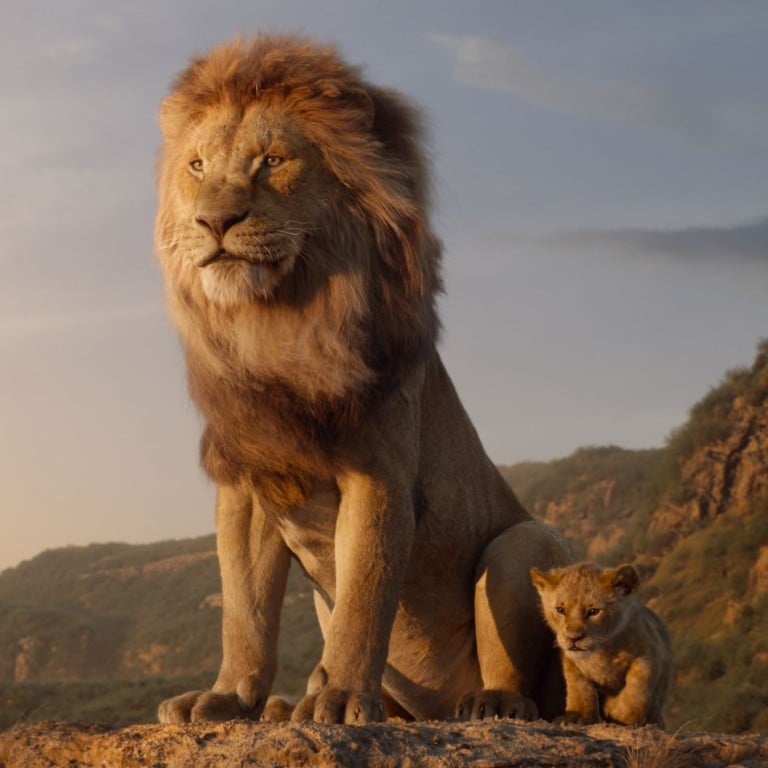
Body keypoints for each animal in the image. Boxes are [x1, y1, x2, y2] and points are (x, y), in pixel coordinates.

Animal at [154, 34, 572, 725]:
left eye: (273, 161)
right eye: (196, 166)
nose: (214, 222)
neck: (277, 325)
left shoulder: (379, 473)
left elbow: (365, 595)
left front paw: (343, 697)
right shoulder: (248, 483)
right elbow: (245, 610)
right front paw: (229, 697)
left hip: (524, 544)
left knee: (524, 679)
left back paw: (489, 703)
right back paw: (286, 705)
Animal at [530, 562, 672, 727]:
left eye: (593, 611)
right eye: (560, 610)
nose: (573, 638)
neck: (601, 651)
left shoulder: (649, 653)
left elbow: (636, 695)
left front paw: (613, 709)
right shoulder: (571, 662)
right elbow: (579, 689)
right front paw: (578, 716)